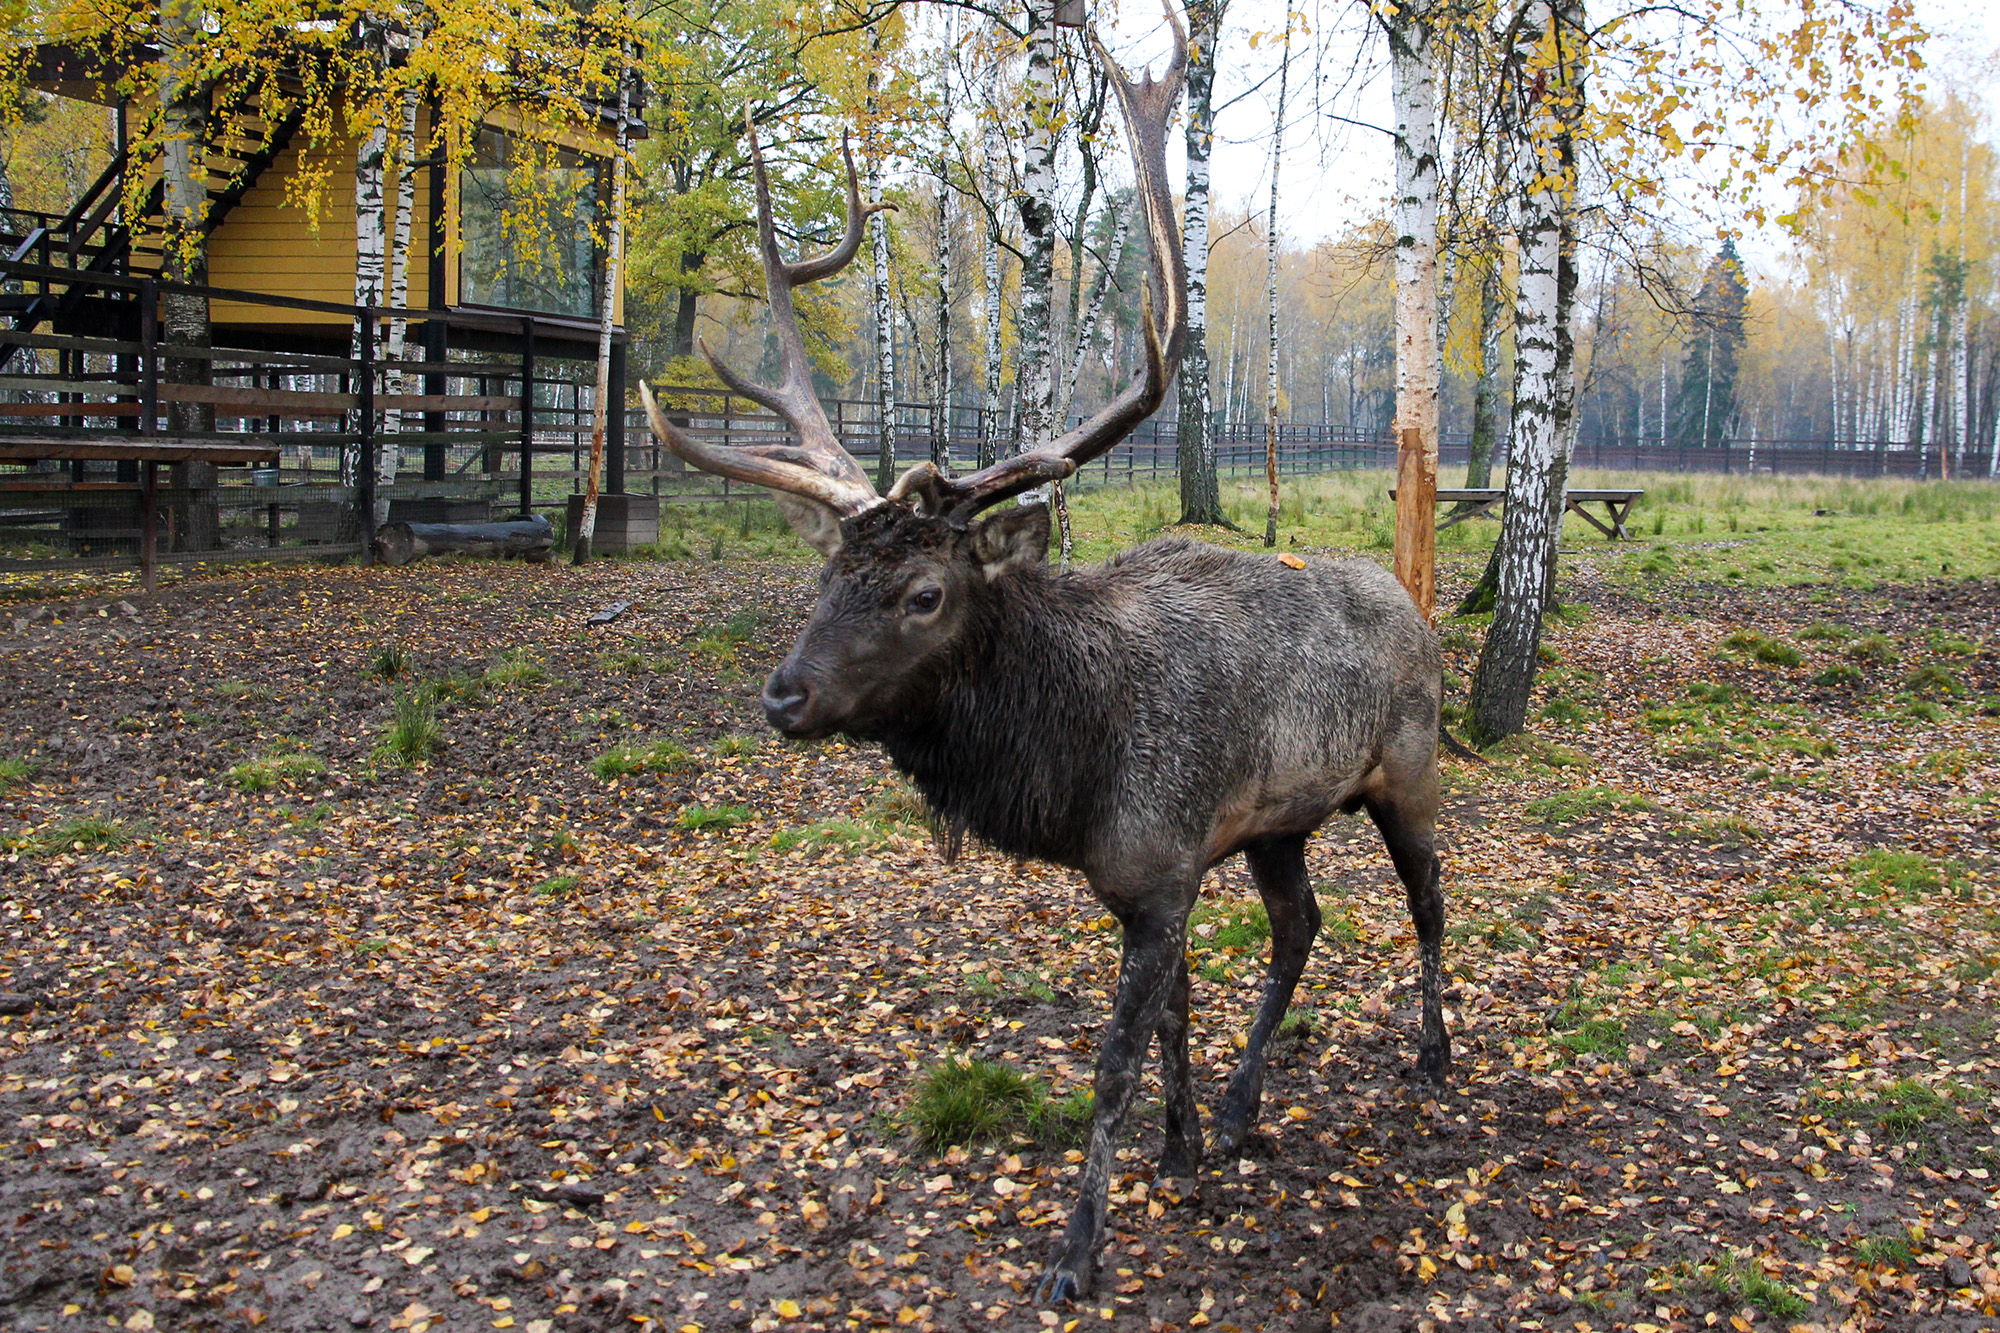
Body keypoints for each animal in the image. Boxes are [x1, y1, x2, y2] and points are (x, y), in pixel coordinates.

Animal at [632, 20, 1448, 1304]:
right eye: (822, 577)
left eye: (922, 593)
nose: (784, 692)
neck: (1073, 773)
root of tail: (1410, 602)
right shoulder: (1171, 865)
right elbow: (1172, 1021)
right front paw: (1179, 1147)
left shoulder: (1161, 869)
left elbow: (1111, 1059)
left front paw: (1077, 1250)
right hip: (1280, 820)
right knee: (1301, 924)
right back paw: (1242, 1106)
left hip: (1407, 766)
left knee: (1427, 897)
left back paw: (1434, 1052)